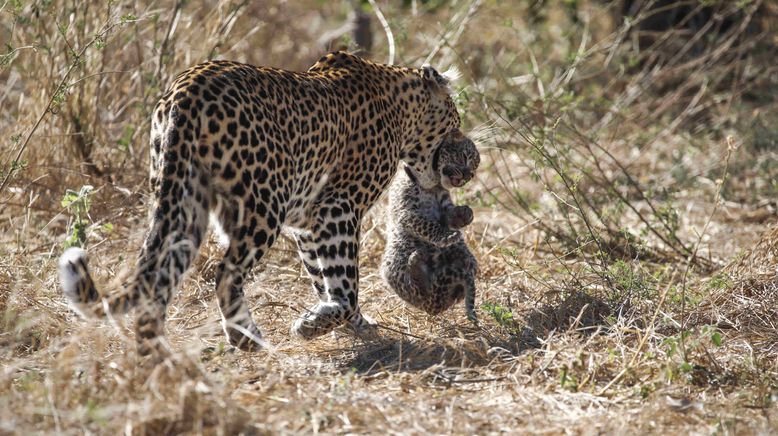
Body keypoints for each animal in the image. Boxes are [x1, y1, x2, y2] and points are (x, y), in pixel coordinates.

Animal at [57, 51, 466, 354]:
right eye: (455, 119)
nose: (462, 145)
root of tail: (184, 93)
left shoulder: (307, 224)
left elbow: (324, 278)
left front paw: (344, 324)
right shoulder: (337, 208)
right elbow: (345, 282)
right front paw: (318, 324)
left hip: (182, 202)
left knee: (159, 277)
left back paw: (158, 358)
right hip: (262, 207)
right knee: (225, 273)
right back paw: (245, 338)